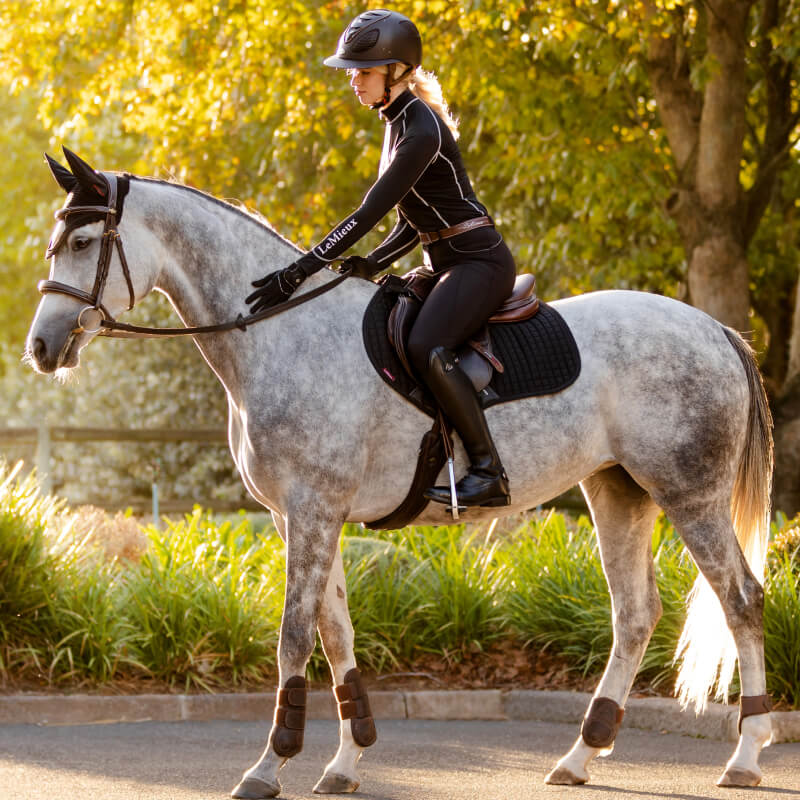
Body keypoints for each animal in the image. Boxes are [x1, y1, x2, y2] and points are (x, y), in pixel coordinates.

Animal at [26, 149, 774, 797]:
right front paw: (345, 761)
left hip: (689, 494)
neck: (280, 332)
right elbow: (336, 633)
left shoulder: (313, 508)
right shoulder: (301, 515)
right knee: (635, 614)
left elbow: (295, 635)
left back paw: (743, 755)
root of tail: (713, 329)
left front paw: (269, 766)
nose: (40, 347)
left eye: (84, 242)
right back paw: (579, 756)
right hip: (618, 490)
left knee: (740, 599)